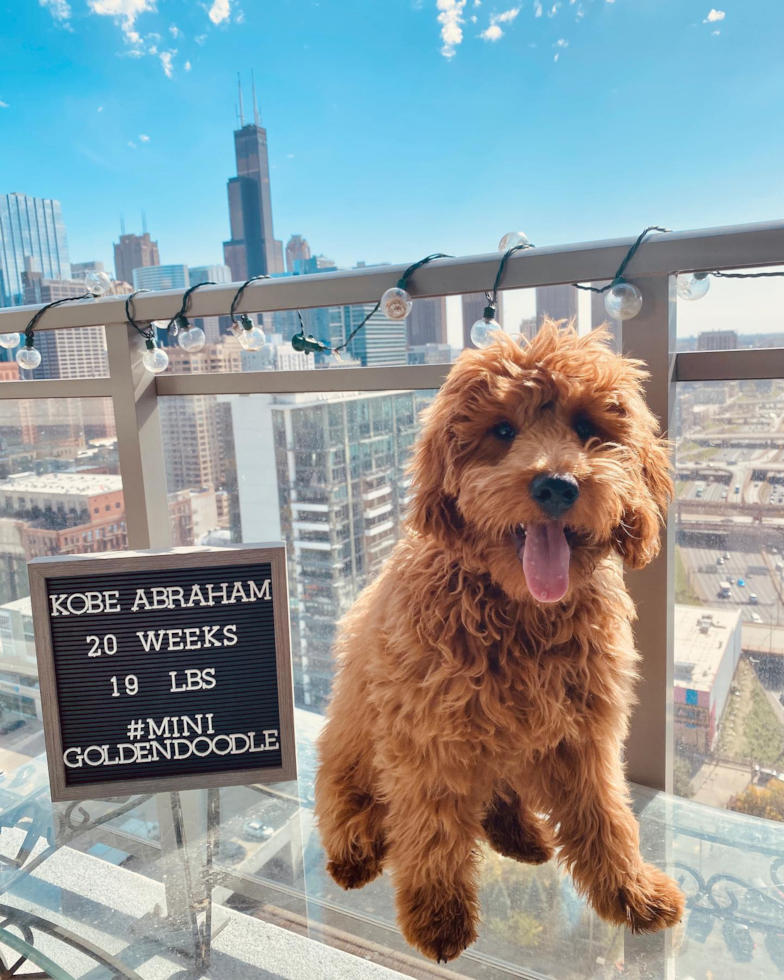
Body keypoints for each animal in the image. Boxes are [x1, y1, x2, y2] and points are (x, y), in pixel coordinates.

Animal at [316, 324, 684, 964]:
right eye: (503, 431)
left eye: (587, 427)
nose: (556, 485)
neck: (521, 613)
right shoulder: (426, 739)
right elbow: (432, 828)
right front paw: (439, 917)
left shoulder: (584, 733)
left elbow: (607, 817)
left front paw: (631, 894)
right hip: (352, 748)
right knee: (343, 798)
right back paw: (356, 848)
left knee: (500, 798)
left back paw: (521, 833)